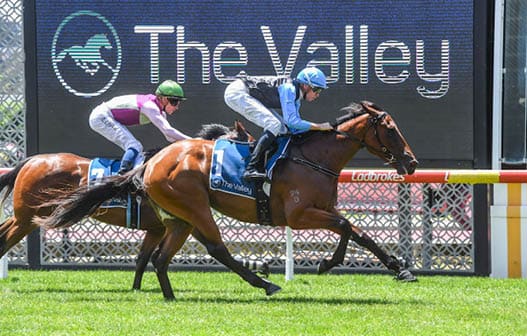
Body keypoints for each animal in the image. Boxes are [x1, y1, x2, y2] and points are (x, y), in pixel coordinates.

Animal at [0, 121, 256, 288]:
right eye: (250, 143)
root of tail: (31, 160)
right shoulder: (180, 219)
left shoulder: (159, 227)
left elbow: (142, 259)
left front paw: (136, 289)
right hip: (27, 218)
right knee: (5, 239)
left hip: (25, 216)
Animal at [37, 101, 420, 300]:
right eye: (390, 128)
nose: (412, 162)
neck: (314, 157)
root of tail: (150, 163)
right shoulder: (298, 215)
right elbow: (345, 227)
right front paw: (327, 263)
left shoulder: (323, 208)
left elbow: (359, 233)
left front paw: (400, 268)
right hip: (195, 207)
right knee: (216, 249)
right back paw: (265, 283)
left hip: (180, 217)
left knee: (160, 257)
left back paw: (170, 296)